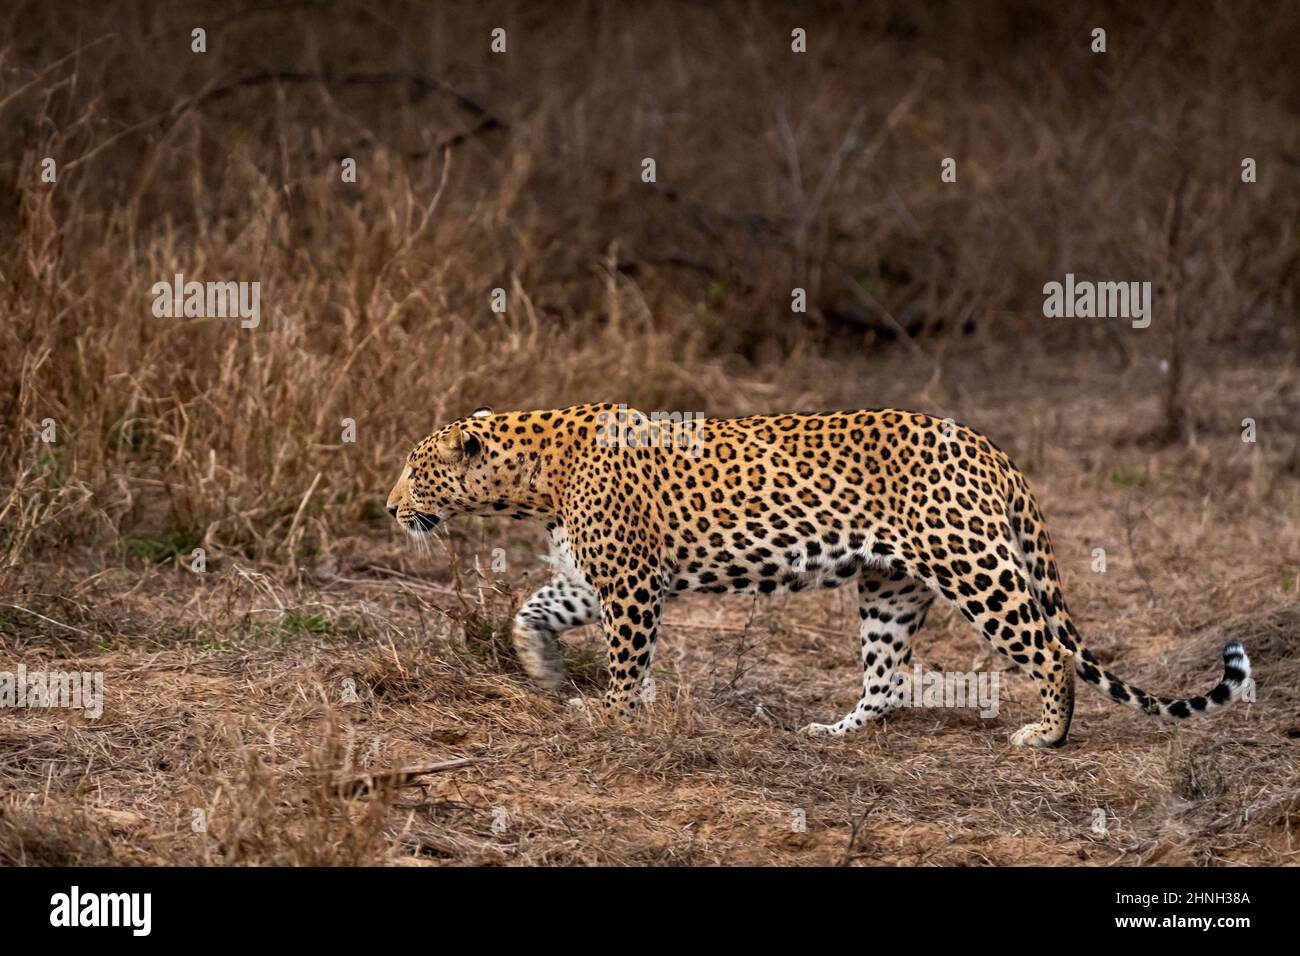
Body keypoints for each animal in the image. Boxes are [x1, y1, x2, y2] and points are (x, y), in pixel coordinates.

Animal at [382, 403, 1248, 749]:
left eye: (417, 470)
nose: (389, 509)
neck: (534, 477)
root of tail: (987, 445)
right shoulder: (597, 578)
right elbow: (531, 609)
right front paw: (542, 667)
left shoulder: (628, 582)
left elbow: (628, 660)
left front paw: (615, 713)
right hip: (889, 587)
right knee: (886, 679)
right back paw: (838, 732)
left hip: (975, 566)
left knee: (1049, 651)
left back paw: (1048, 733)